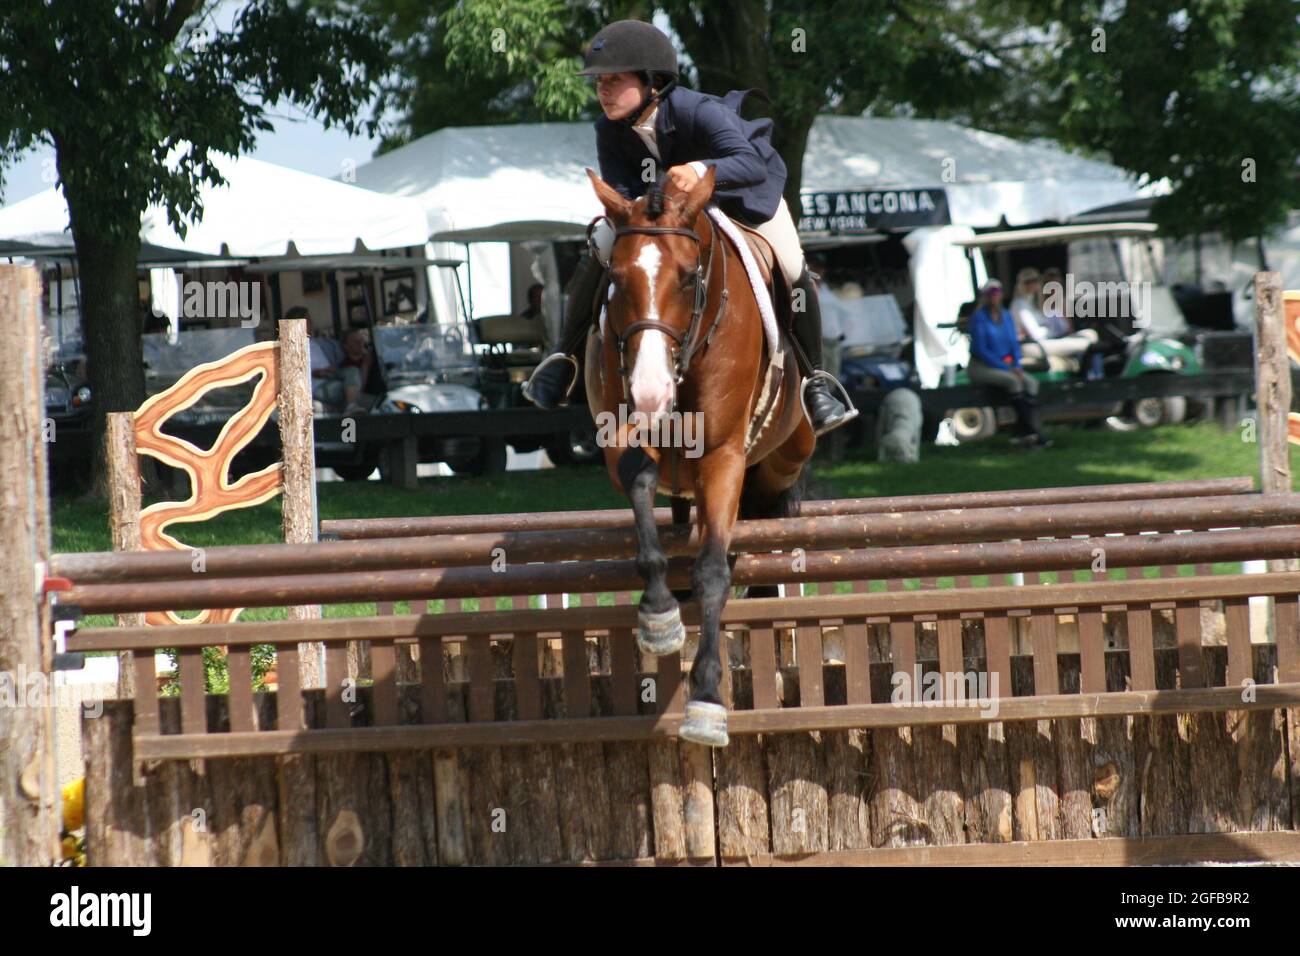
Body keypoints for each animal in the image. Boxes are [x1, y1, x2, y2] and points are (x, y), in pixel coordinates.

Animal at [587, 166, 811, 749]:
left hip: (782, 459)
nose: (649, 392)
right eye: (614, 277)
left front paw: (707, 699)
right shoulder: (619, 433)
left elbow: (713, 567)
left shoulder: (722, 456)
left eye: (689, 278)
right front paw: (659, 615)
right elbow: (640, 481)